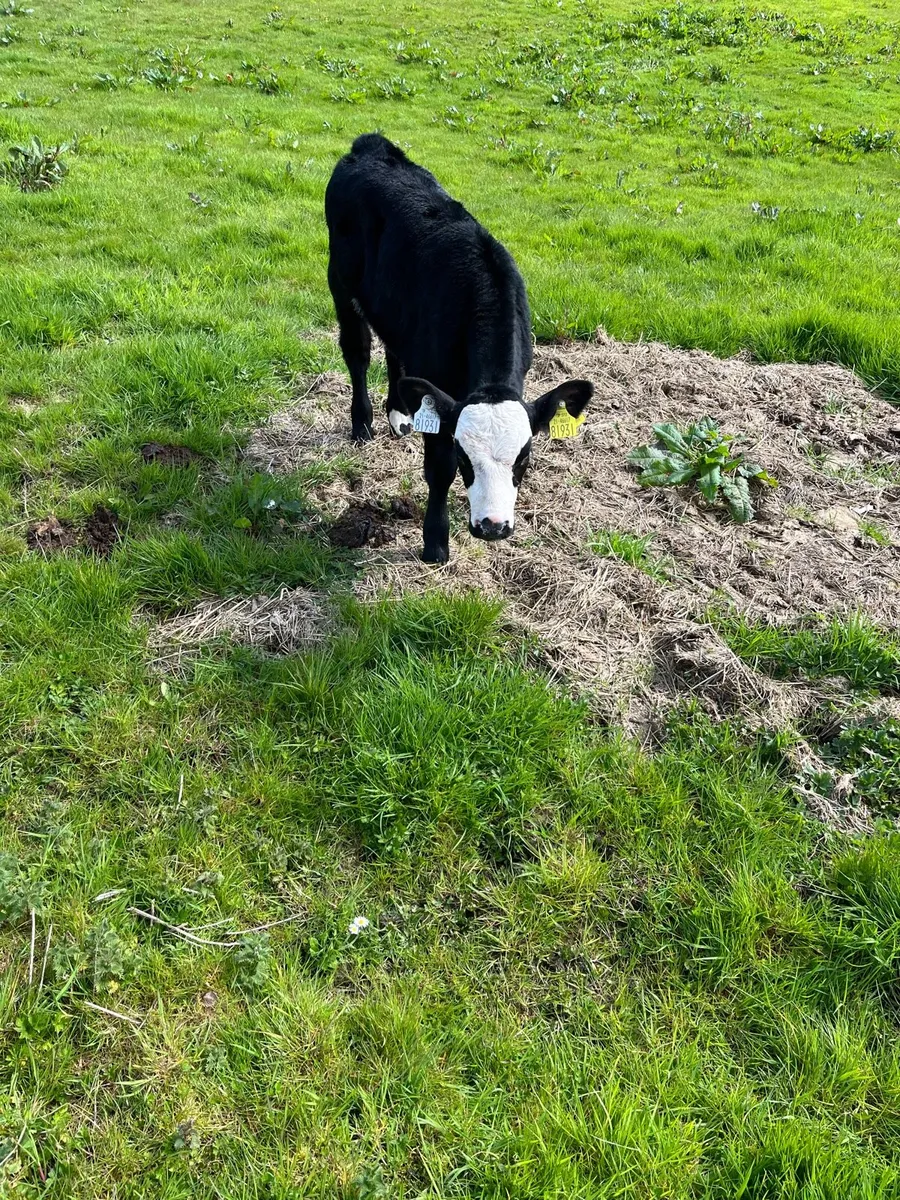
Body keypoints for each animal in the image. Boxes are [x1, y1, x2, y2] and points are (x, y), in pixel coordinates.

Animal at [324, 132, 593, 563]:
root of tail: (372, 145)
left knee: (394, 351)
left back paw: (398, 414)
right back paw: (362, 423)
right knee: (358, 352)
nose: (493, 526)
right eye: (465, 456)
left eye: (524, 458)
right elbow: (438, 470)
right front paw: (435, 541)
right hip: (341, 282)